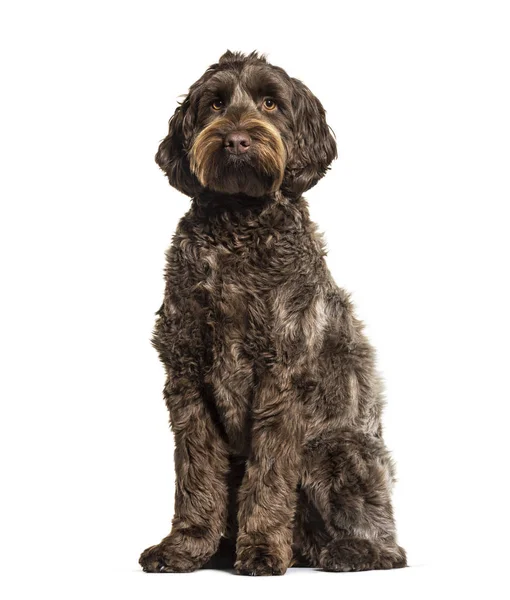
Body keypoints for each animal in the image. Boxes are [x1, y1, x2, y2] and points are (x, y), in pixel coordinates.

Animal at [138, 49, 406, 576]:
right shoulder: (186, 375)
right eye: (215, 103)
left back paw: (349, 551)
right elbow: (196, 472)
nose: (237, 139)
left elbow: (270, 475)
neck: (238, 228)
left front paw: (261, 549)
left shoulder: (281, 375)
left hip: (336, 448)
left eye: (270, 102)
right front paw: (186, 546)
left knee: (390, 548)